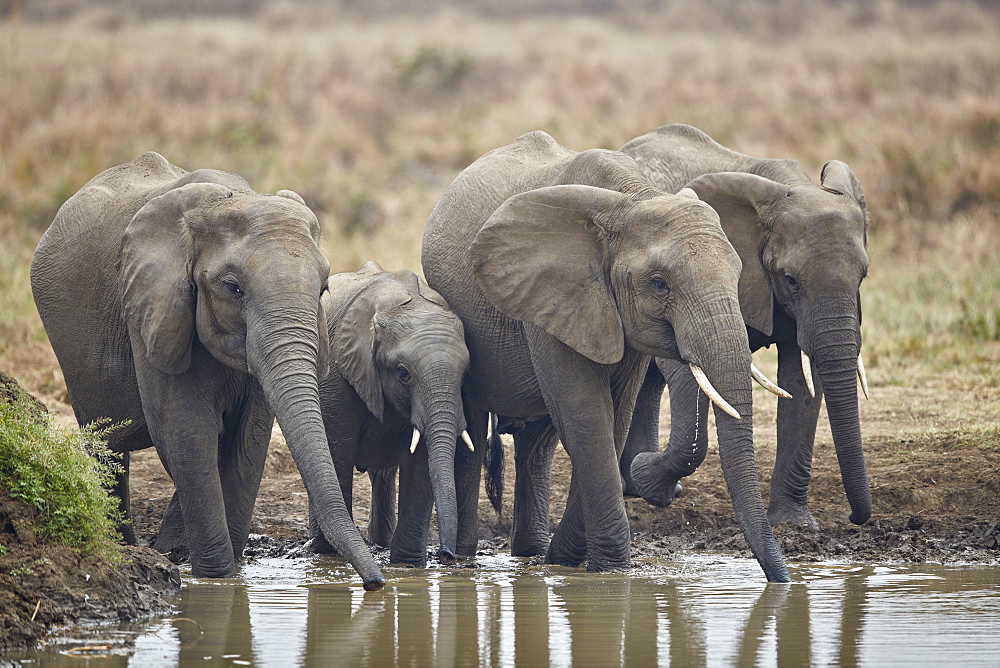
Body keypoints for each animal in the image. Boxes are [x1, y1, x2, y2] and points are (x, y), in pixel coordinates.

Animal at [28, 153, 386, 588]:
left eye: (323, 289)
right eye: (233, 288)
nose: (375, 584)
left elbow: (247, 440)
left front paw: (222, 575)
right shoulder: (154, 309)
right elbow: (187, 429)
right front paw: (215, 579)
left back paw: (164, 548)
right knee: (108, 447)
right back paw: (126, 545)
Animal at [308, 264, 472, 568]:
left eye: (466, 373)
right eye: (403, 373)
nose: (446, 555)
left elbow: (420, 463)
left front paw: (407, 565)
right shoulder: (338, 369)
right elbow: (337, 451)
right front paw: (328, 554)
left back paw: (380, 544)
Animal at [420, 129, 788, 580]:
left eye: (738, 275)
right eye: (659, 284)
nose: (781, 579)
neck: (632, 198)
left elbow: (614, 417)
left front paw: (570, 561)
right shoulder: (554, 297)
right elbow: (586, 415)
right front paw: (611, 571)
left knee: (538, 445)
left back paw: (532, 555)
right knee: (474, 426)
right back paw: (462, 559)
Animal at [620, 124, 872, 528]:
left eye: (862, 277)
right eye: (791, 280)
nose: (854, 516)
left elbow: (803, 381)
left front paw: (793, 524)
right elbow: (687, 372)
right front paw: (649, 479)